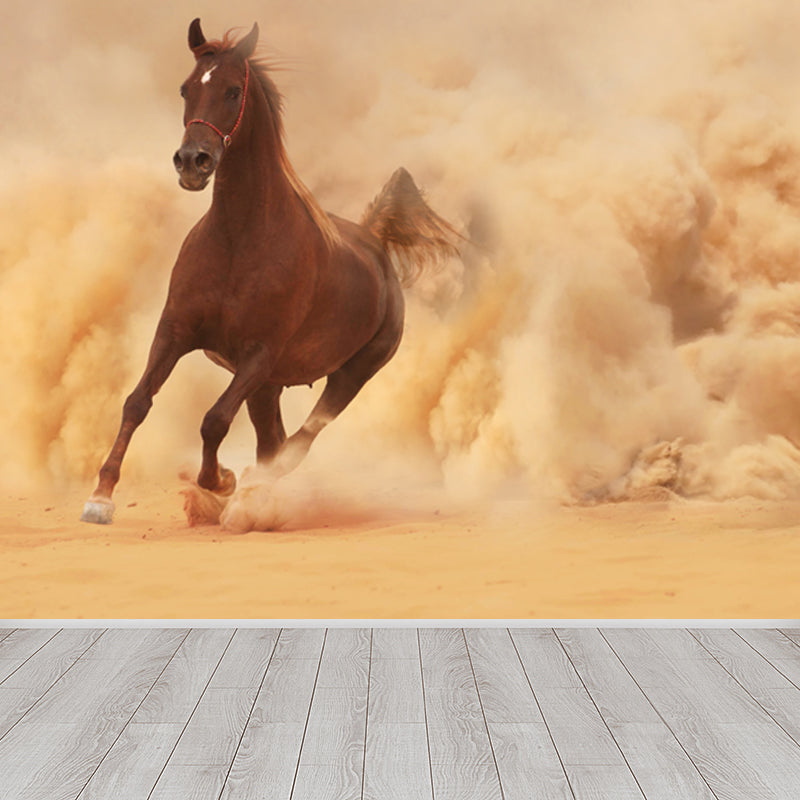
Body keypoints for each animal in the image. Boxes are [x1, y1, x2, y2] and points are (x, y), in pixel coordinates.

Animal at [81, 18, 459, 525]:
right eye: (186, 88)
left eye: (233, 91)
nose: (192, 162)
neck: (238, 241)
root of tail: (374, 241)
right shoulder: (175, 331)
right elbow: (137, 402)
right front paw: (100, 498)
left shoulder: (258, 353)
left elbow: (214, 419)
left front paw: (221, 481)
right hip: (270, 387)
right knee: (273, 440)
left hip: (350, 374)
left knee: (297, 443)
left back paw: (251, 495)